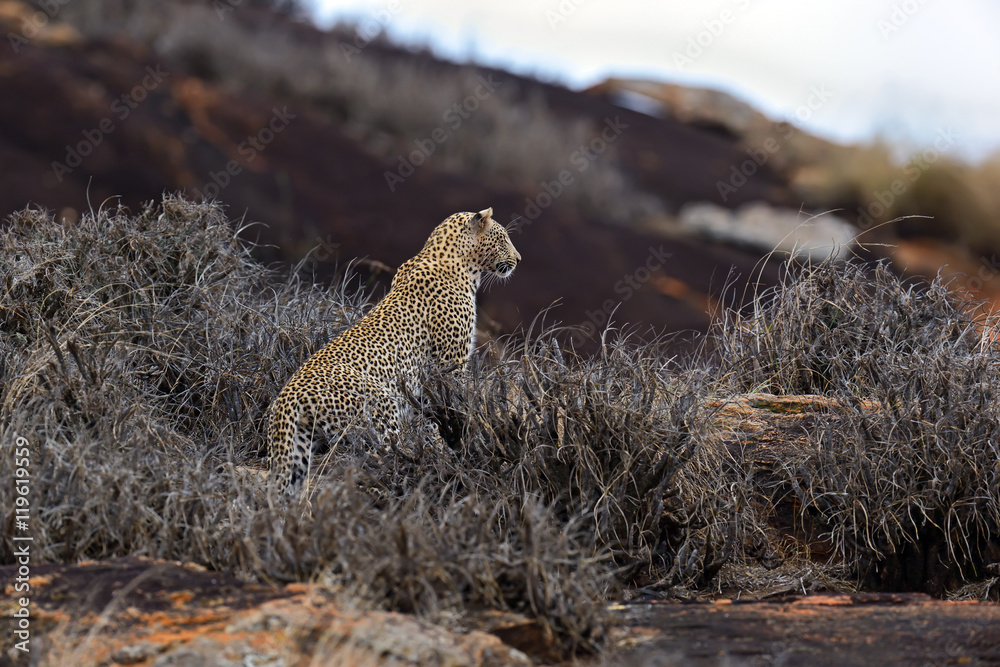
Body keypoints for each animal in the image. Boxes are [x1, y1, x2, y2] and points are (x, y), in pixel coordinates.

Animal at [270, 209, 520, 496]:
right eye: (503, 238)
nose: (518, 259)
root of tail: (289, 396)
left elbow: (429, 416)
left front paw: (441, 447)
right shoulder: (450, 364)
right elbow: (454, 407)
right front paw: (457, 443)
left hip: (297, 451)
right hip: (381, 409)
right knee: (380, 456)